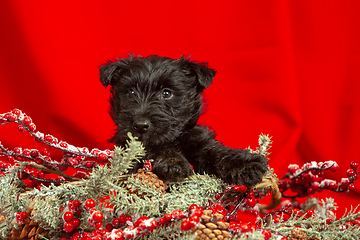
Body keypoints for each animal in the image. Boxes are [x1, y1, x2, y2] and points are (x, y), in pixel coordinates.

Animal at [100, 54, 268, 186]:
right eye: (131, 92)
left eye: (166, 93)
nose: (141, 125)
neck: (175, 139)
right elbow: (155, 148)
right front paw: (174, 162)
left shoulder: (198, 140)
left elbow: (216, 151)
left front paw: (246, 164)